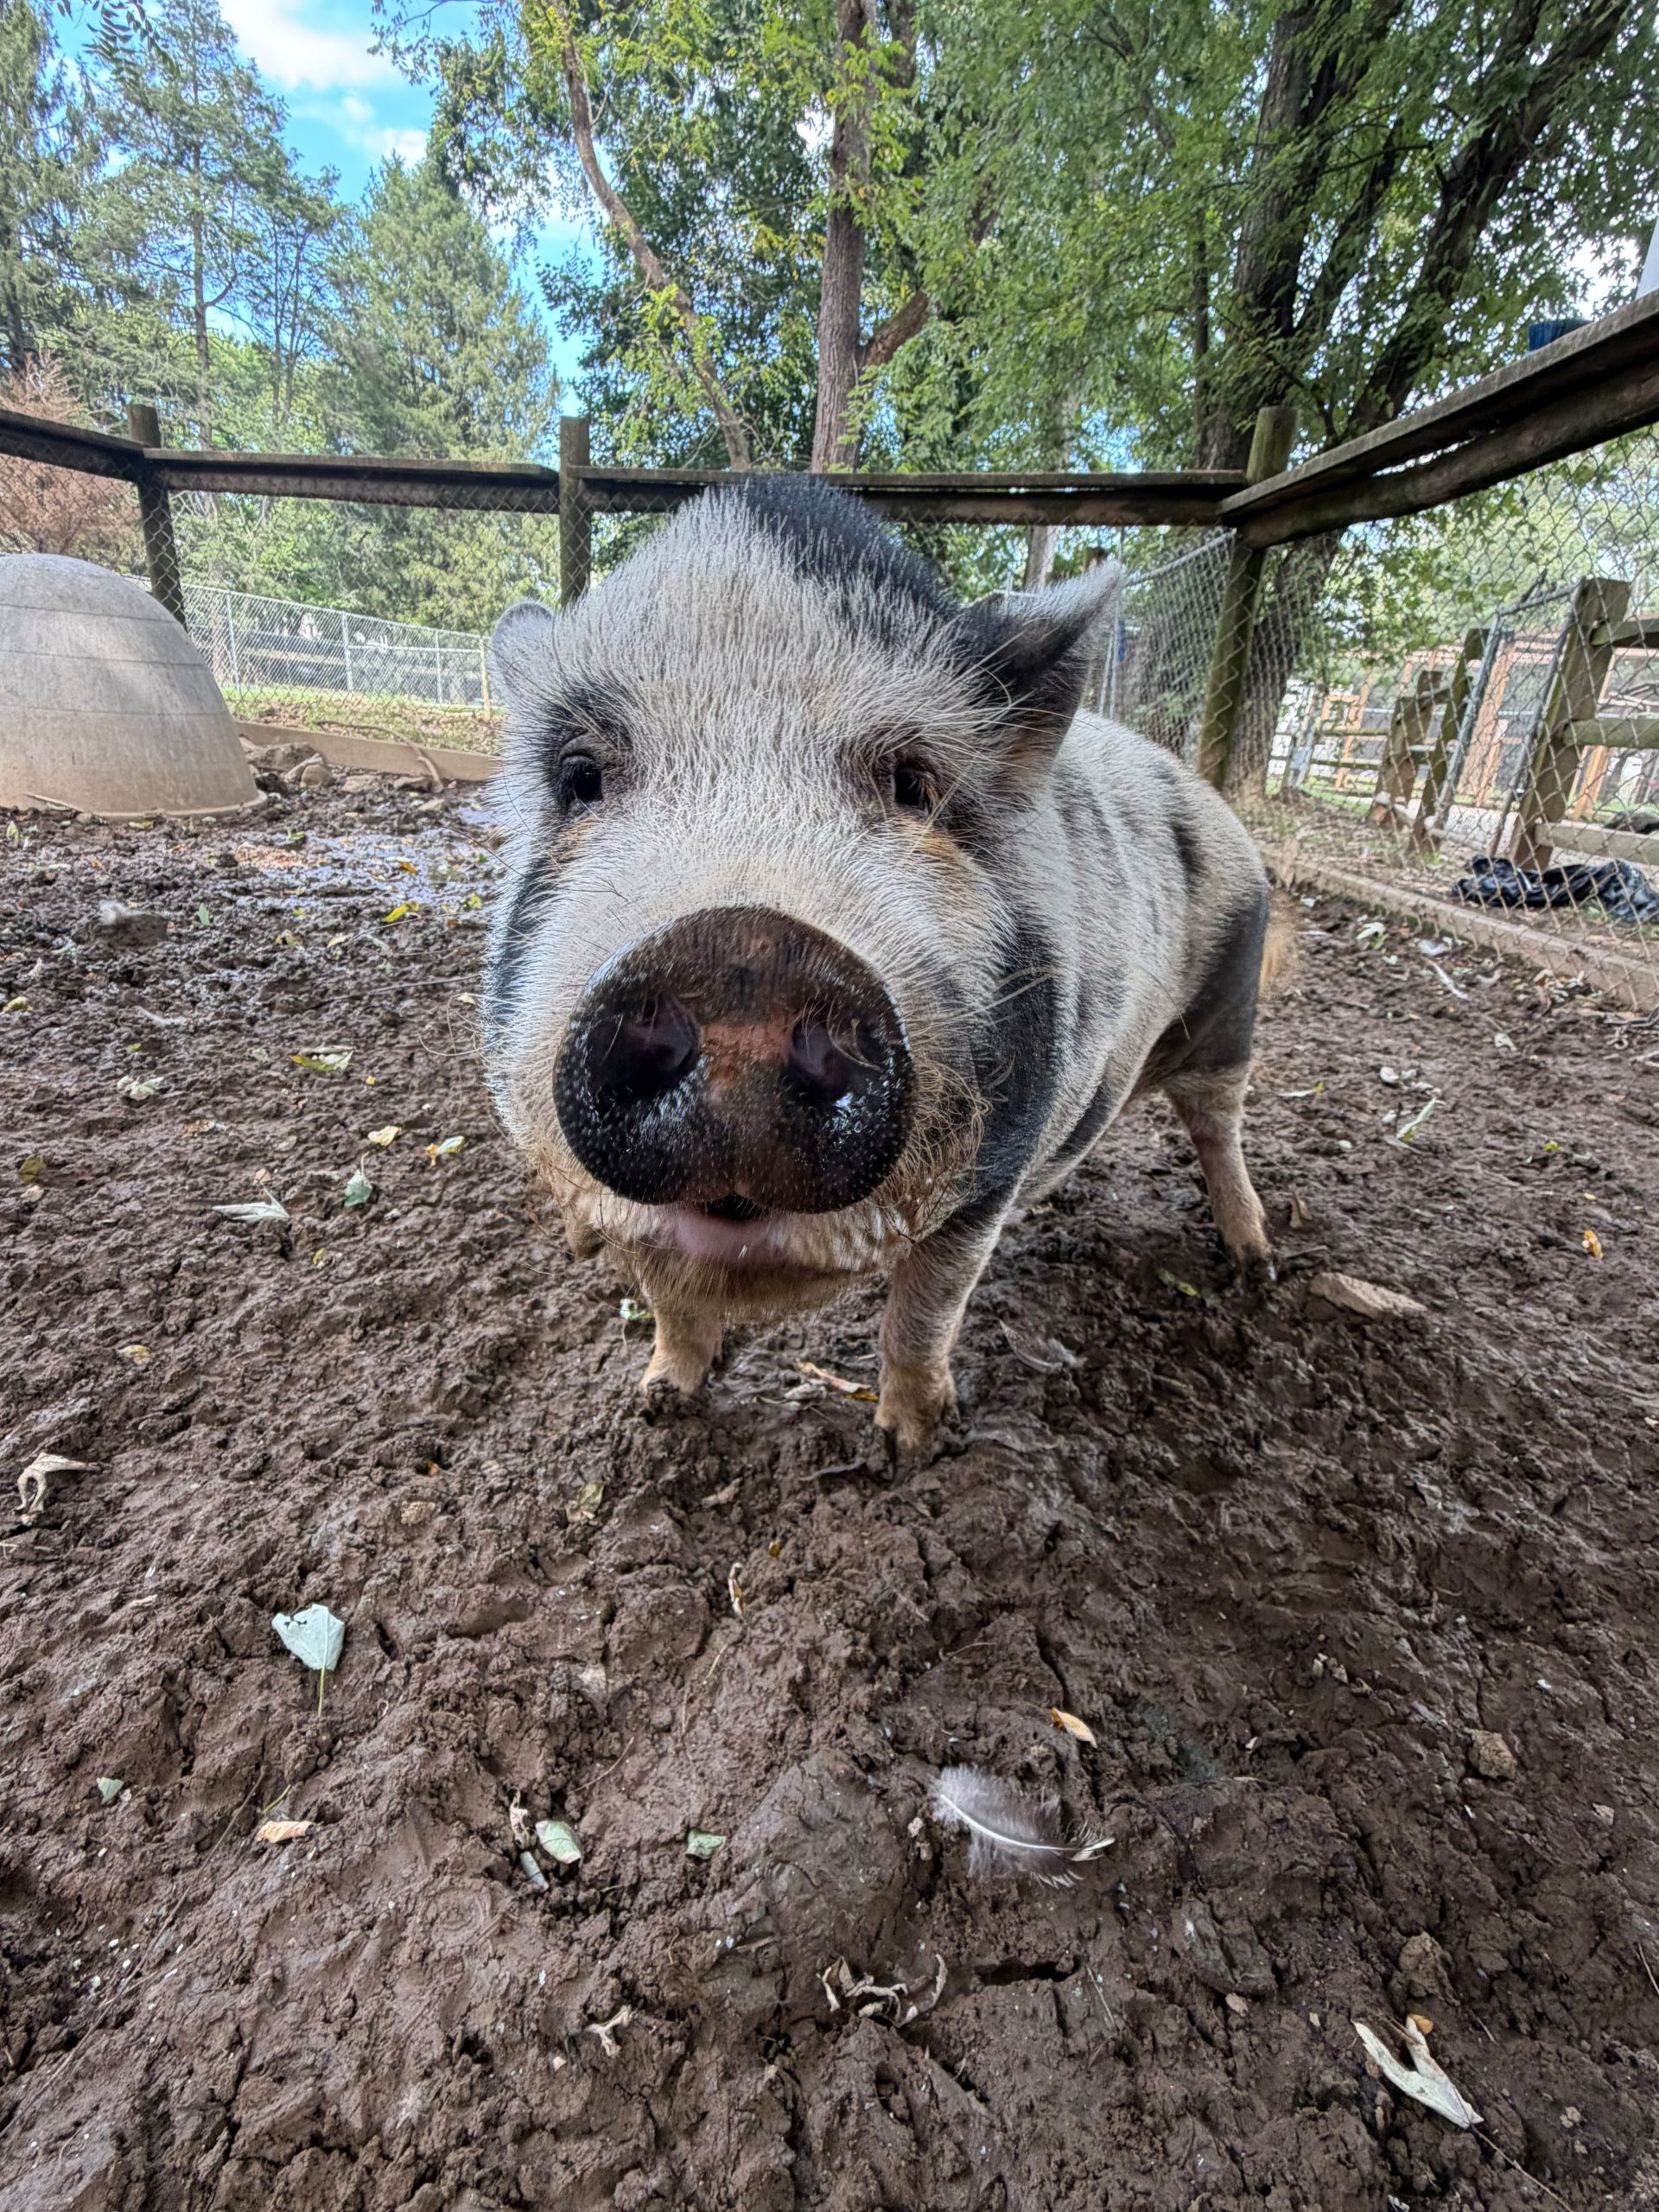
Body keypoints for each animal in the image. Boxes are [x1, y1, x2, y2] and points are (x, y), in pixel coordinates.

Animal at [484, 476, 1280, 1451]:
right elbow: (670, 1304)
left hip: (1230, 1005)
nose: (743, 950)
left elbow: (923, 1314)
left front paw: (912, 1445)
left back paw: (1256, 1264)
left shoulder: (987, 1175)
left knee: (1219, 1124)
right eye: (582, 776)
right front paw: (660, 1399)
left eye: (913, 784)